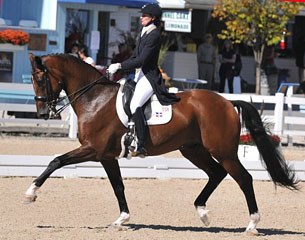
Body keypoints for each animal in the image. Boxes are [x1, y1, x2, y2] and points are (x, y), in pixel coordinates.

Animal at [25, 53, 296, 235]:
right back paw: (203, 214)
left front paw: (30, 193)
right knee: (217, 173)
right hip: (193, 150)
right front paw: (121, 219)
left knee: (243, 178)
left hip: (224, 151)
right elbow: (118, 186)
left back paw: (252, 224)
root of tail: (228, 102)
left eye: (40, 78)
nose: (42, 113)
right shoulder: (106, 156)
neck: (95, 99)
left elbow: (56, 161)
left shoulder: (93, 149)